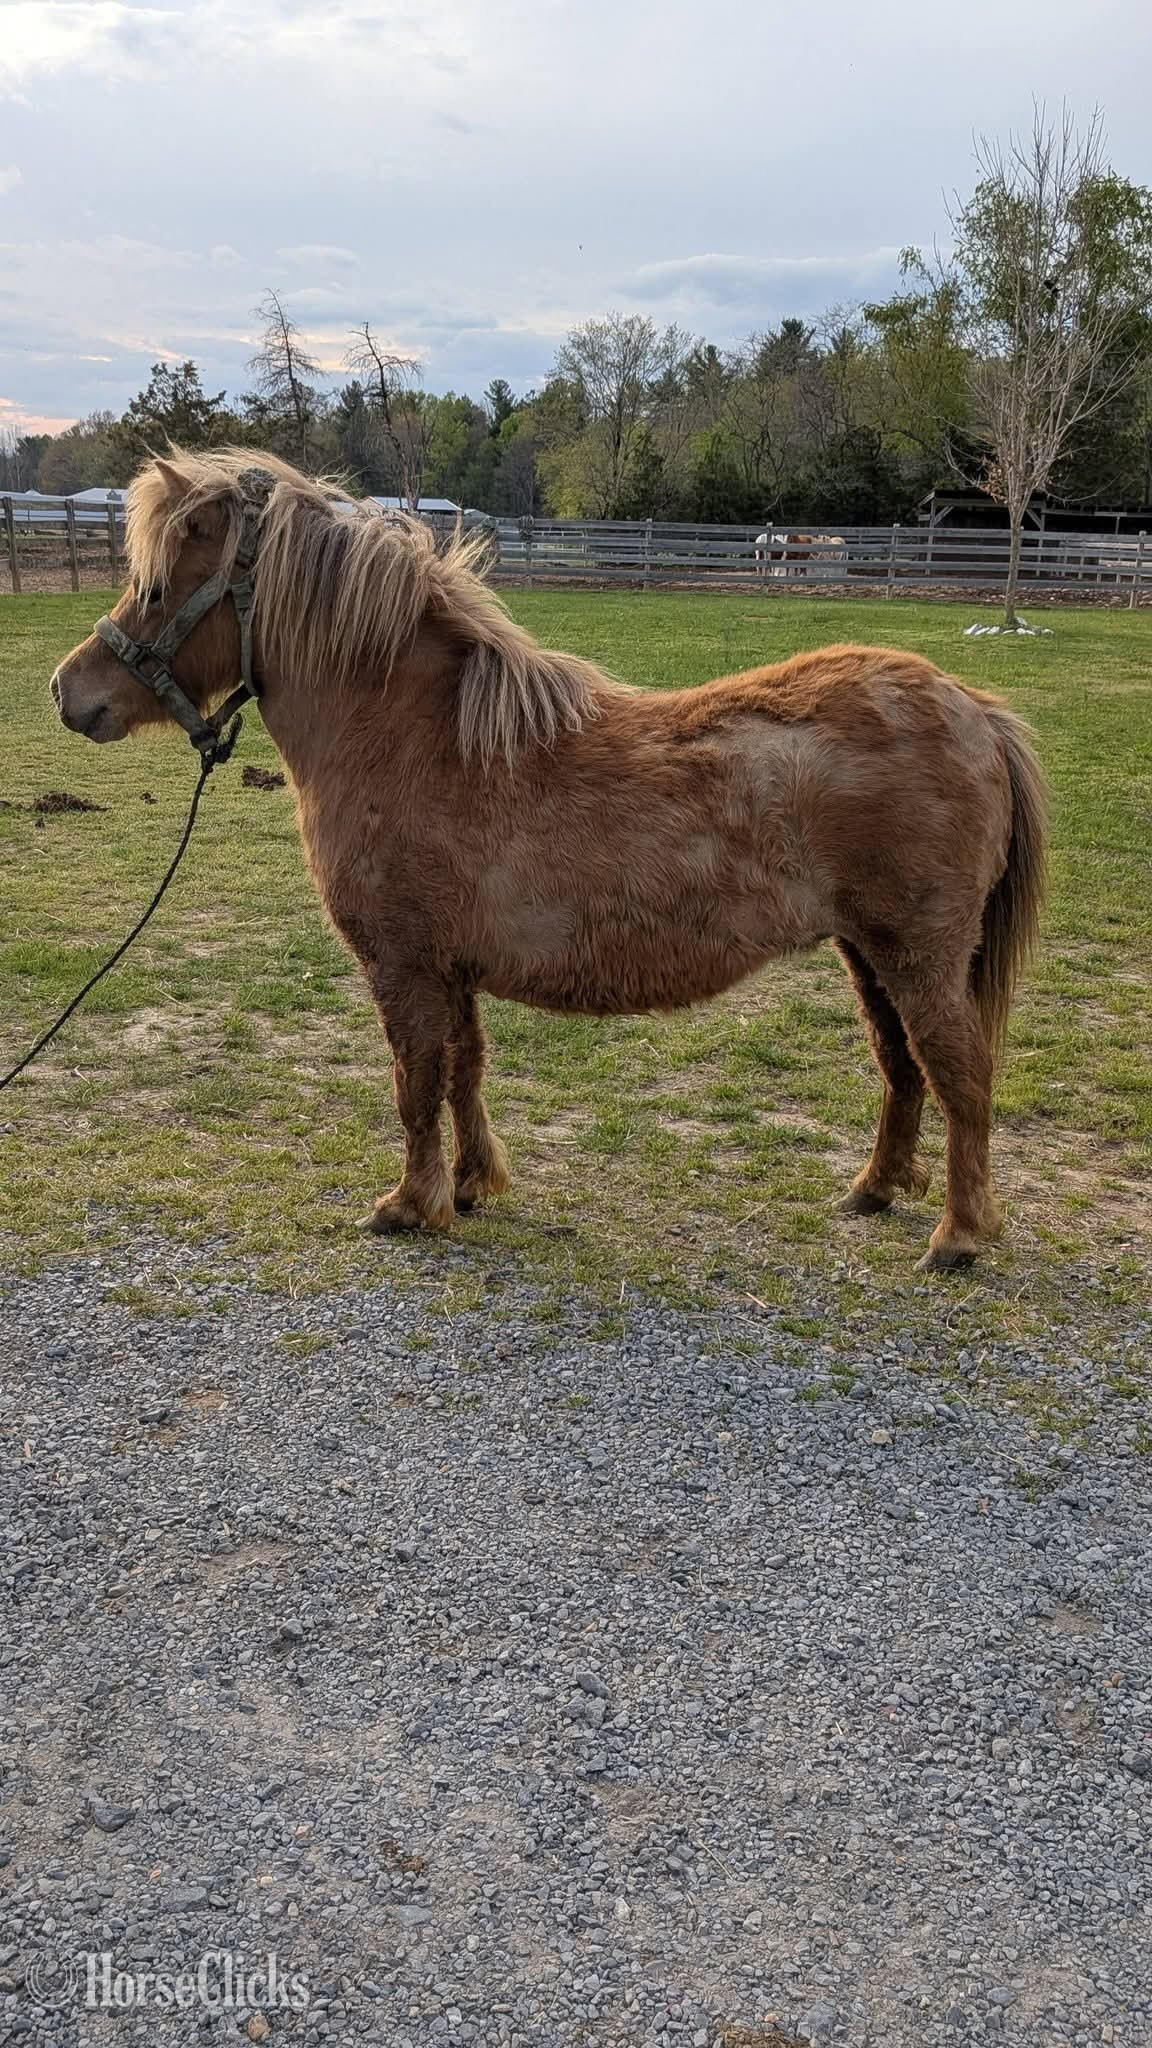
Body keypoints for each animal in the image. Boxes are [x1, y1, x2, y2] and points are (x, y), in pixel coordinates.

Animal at [50, 449, 1046, 1271]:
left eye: (153, 586)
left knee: (959, 1074)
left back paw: (957, 1236)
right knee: (901, 1067)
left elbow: (415, 1082)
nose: (68, 691)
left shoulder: (402, 967)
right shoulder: (448, 968)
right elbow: (463, 1071)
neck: (414, 735)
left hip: (917, 955)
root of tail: (975, 710)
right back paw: (874, 1191)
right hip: (866, 954)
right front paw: (467, 1186)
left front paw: (409, 1204)